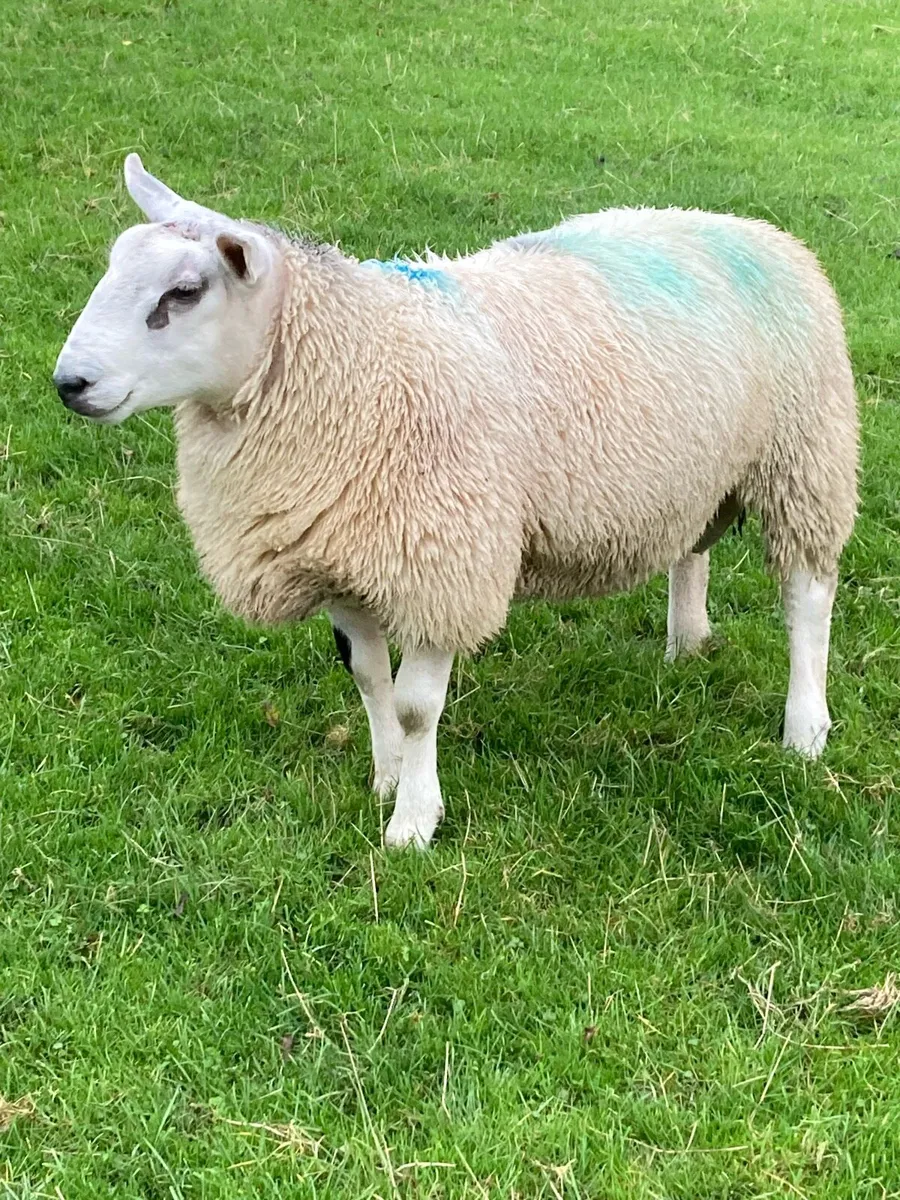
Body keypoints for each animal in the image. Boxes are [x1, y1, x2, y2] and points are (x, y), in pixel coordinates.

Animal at [54, 154, 859, 849]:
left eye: (184, 292)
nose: (70, 384)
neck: (351, 362)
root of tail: (749, 227)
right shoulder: (338, 553)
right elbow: (367, 677)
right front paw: (384, 778)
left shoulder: (445, 557)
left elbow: (416, 706)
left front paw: (413, 822)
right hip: (700, 469)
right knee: (691, 551)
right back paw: (686, 644)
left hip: (804, 454)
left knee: (808, 595)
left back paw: (805, 729)